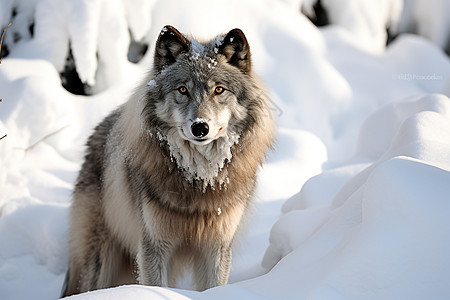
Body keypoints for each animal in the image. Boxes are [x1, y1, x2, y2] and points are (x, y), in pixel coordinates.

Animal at [61, 25, 276, 296]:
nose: (200, 127)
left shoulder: (216, 248)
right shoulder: (154, 246)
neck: (198, 179)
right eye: (183, 89)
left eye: (218, 90)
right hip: (102, 259)